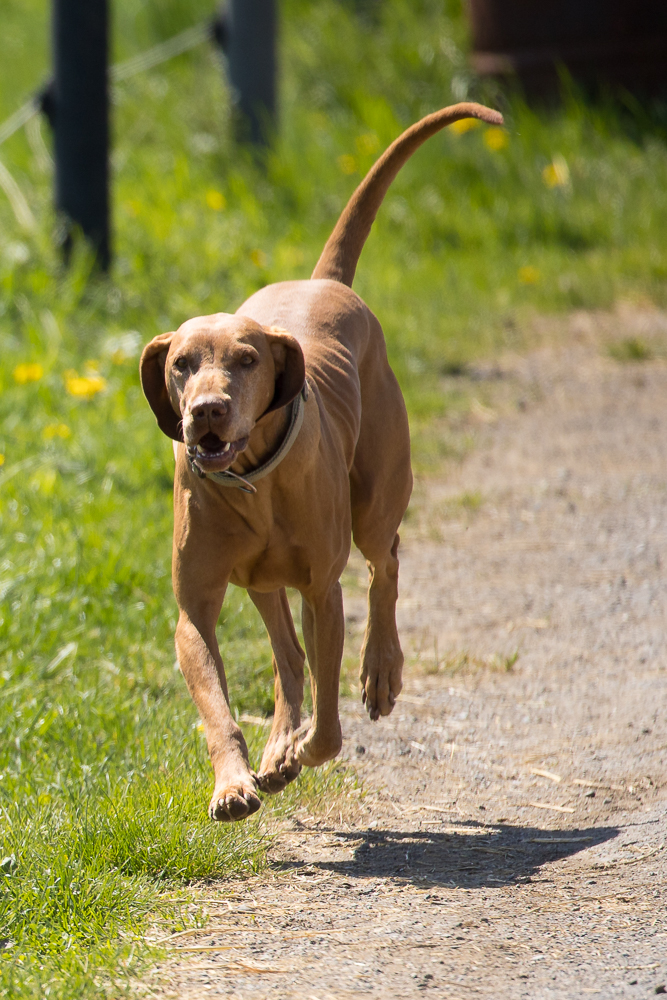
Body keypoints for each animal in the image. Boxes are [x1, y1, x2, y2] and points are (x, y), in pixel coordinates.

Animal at [144, 101, 504, 820]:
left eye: (246, 360)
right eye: (181, 364)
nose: (207, 412)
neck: (251, 483)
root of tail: (322, 282)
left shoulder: (321, 587)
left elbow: (331, 721)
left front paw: (301, 750)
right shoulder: (195, 609)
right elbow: (218, 705)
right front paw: (235, 781)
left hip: (373, 503)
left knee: (384, 564)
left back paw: (379, 672)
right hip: (261, 580)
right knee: (287, 655)